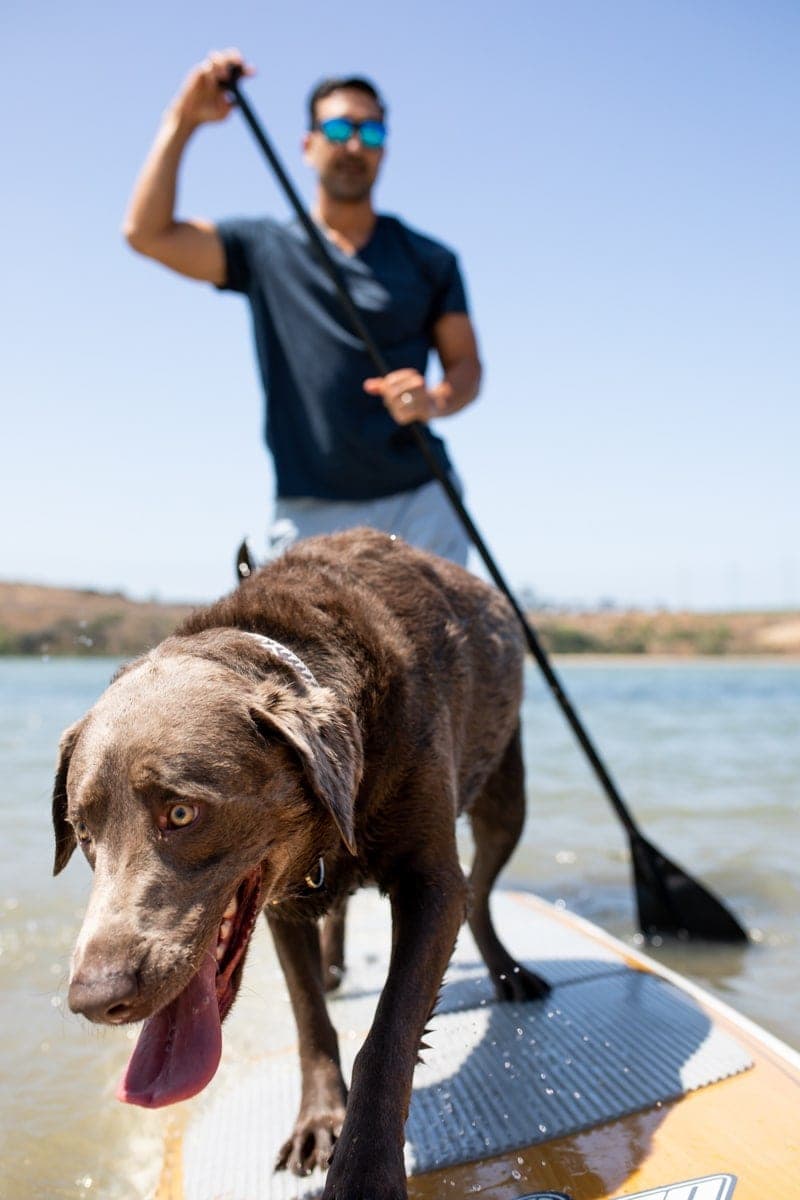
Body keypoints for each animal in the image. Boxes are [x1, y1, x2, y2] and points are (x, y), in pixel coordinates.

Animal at [53, 530, 546, 1195]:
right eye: (82, 833)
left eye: (181, 813)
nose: (94, 998)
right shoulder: (282, 905)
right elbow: (310, 1016)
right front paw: (319, 1120)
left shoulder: (432, 883)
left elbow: (390, 1031)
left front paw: (364, 1169)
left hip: (504, 794)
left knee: (484, 889)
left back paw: (507, 971)